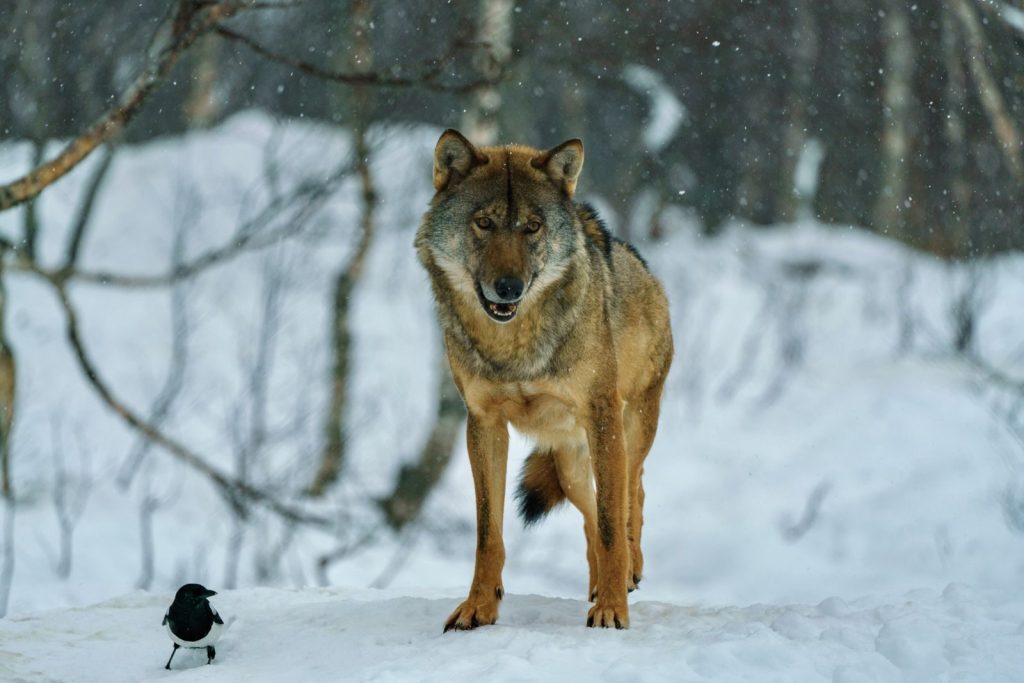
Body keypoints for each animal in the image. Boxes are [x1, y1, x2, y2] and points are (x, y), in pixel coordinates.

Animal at [416, 129, 673, 630]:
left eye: (532, 227)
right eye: (484, 223)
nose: (508, 288)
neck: (514, 347)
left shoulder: (602, 414)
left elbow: (613, 525)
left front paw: (612, 610)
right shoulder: (483, 423)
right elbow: (488, 533)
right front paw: (479, 607)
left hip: (627, 432)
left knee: (632, 491)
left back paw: (627, 573)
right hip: (570, 463)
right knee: (592, 510)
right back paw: (600, 583)